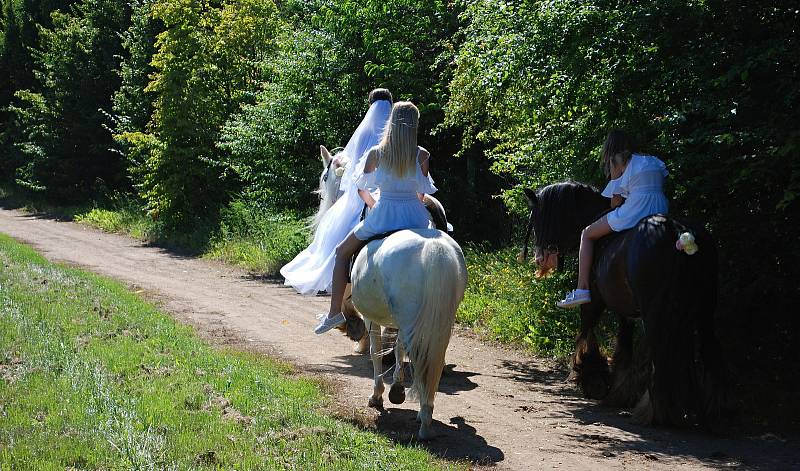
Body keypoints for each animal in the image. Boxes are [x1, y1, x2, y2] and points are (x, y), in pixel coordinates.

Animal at [312, 147, 466, 438]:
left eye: (325, 176)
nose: (323, 201)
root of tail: (434, 250)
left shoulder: (371, 312)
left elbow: (376, 348)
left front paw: (379, 393)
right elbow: (395, 348)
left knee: (414, 352)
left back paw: (419, 415)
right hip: (441, 319)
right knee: (429, 356)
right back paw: (424, 413)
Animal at [520, 183, 728, 426]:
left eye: (536, 219)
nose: (540, 259)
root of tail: (681, 233)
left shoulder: (594, 302)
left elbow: (587, 334)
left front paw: (592, 379)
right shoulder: (627, 312)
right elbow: (624, 347)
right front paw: (618, 392)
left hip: (656, 313)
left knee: (659, 356)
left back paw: (655, 412)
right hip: (704, 313)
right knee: (709, 351)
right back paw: (712, 412)